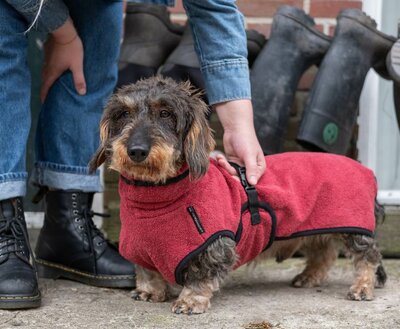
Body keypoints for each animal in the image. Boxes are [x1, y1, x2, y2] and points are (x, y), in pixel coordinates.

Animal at [90, 75, 384, 314]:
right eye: (123, 114)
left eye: (165, 113)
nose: (137, 150)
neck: (155, 197)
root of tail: (365, 170)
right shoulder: (141, 249)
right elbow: (148, 271)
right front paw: (149, 291)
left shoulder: (215, 246)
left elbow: (201, 275)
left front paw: (190, 300)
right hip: (312, 230)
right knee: (324, 252)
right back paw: (309, 276)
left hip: (354, 230)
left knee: (368, 256)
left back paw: (362, 287)